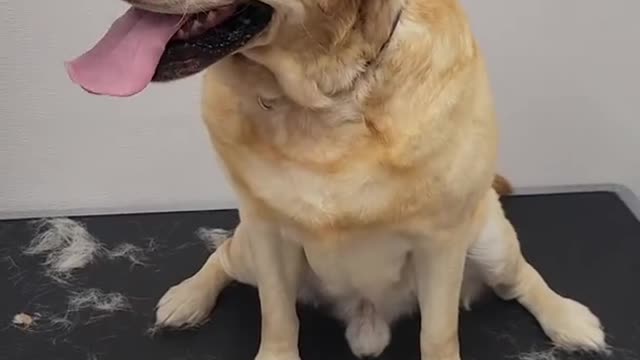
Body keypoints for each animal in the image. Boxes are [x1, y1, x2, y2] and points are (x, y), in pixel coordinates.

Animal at [67, 0, 608, 360]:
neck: (325, 96)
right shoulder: (267, 232)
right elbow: (277, 319)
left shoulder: (442, 243)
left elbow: (438, 334)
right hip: (249, 250)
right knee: (221, 255)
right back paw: (187, 297)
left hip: (489, 243)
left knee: (523, 280)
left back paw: (568, 319)